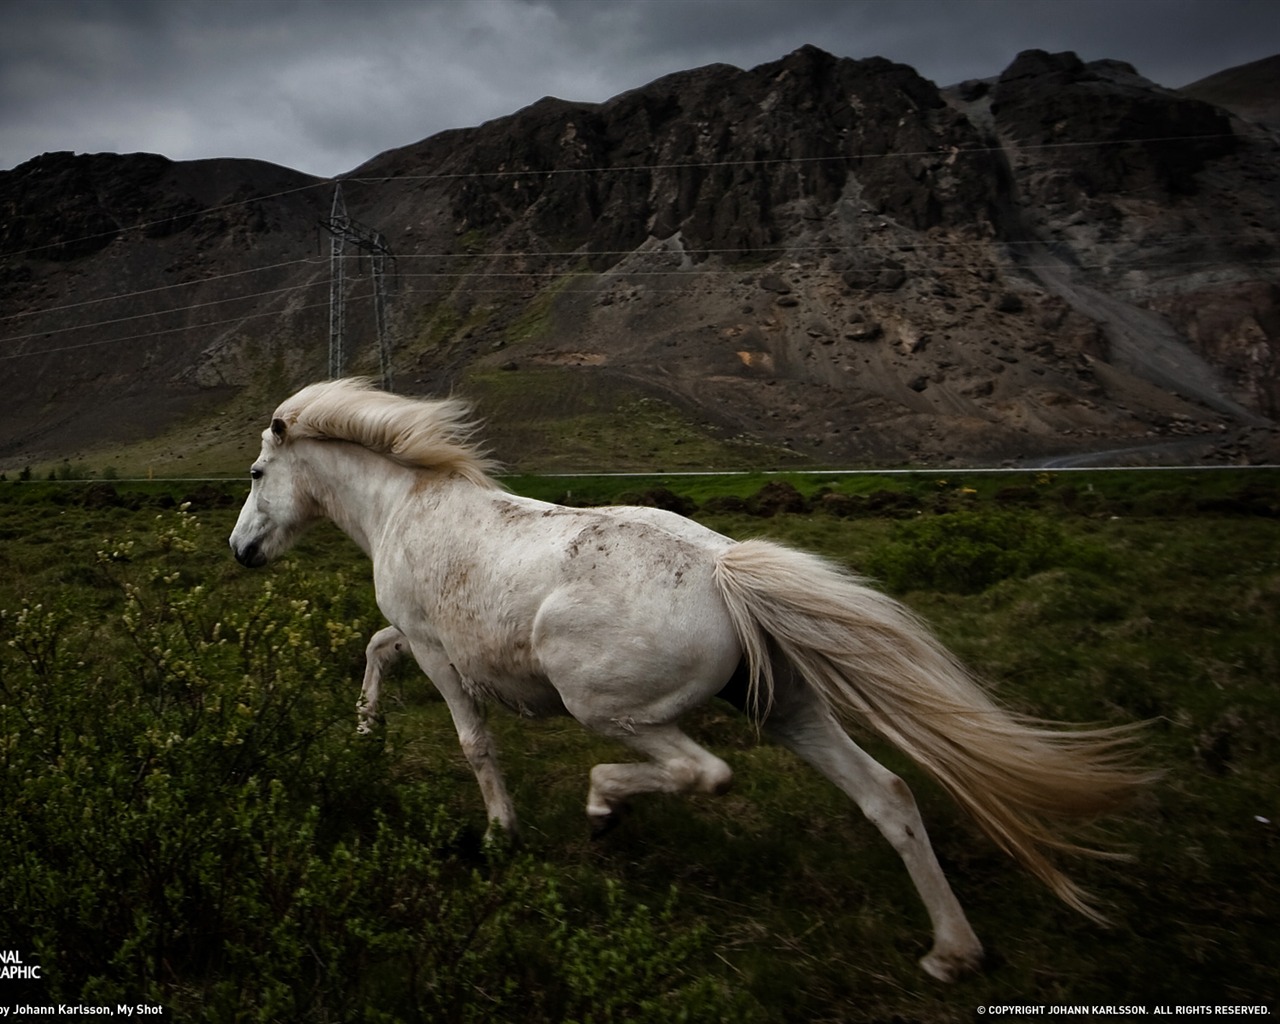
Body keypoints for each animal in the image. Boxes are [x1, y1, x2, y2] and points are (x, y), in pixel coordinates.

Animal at [230, 378, 1152, 983]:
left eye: (255, 475)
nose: (240, 552)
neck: (406, 506)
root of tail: (724, 569)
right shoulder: (426, 645)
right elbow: (375, 652)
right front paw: (364, 734)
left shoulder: (438, 651)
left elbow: (471, 741)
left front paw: (499, 835)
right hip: (788, 710)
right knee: (888, 794)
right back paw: (953, 952)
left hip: (607, 706)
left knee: (701, 771)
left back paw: (604, 809)